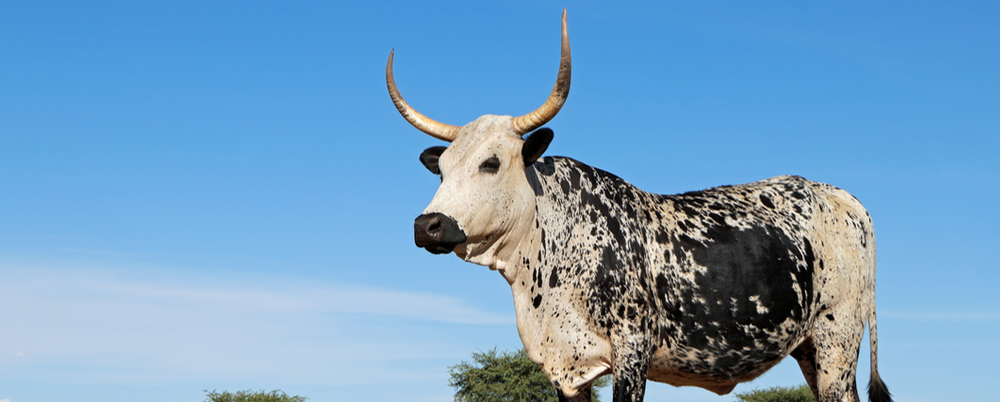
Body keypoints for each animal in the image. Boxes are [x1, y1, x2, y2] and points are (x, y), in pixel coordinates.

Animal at [388, 10, 891, 402]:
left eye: (491, 162)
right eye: (441, 169)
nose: (427, 224)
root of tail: (838, 194)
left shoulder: (632, 351)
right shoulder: (567, 368)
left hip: (837, 339)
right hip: (811, 348)